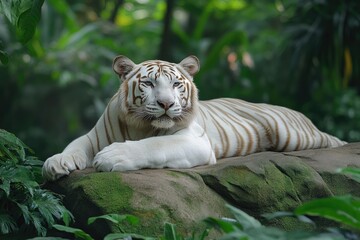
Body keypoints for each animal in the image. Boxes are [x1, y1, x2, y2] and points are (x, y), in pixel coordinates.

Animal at [42, 55, 346, 180]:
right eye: (149, 84)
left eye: (177, 84)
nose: (166, 104)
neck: (140, 126)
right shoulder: (93, 136)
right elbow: (74, 145)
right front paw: (55, 163)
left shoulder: (194, 140)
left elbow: (155, 145)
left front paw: (112, 157)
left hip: (291, 133)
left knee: (327, 137)